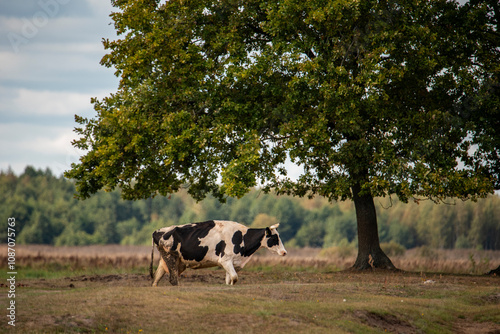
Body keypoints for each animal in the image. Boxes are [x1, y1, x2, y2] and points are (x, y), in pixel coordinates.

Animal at [149, 220, 286, 286]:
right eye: (275, 238)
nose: (284, 252)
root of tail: (158, 231)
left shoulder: (232, 263)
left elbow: (230, 280)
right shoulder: (225, 260)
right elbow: (235, 278)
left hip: (169, 260)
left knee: (156, 278)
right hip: (171, 257)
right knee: (173, 279)